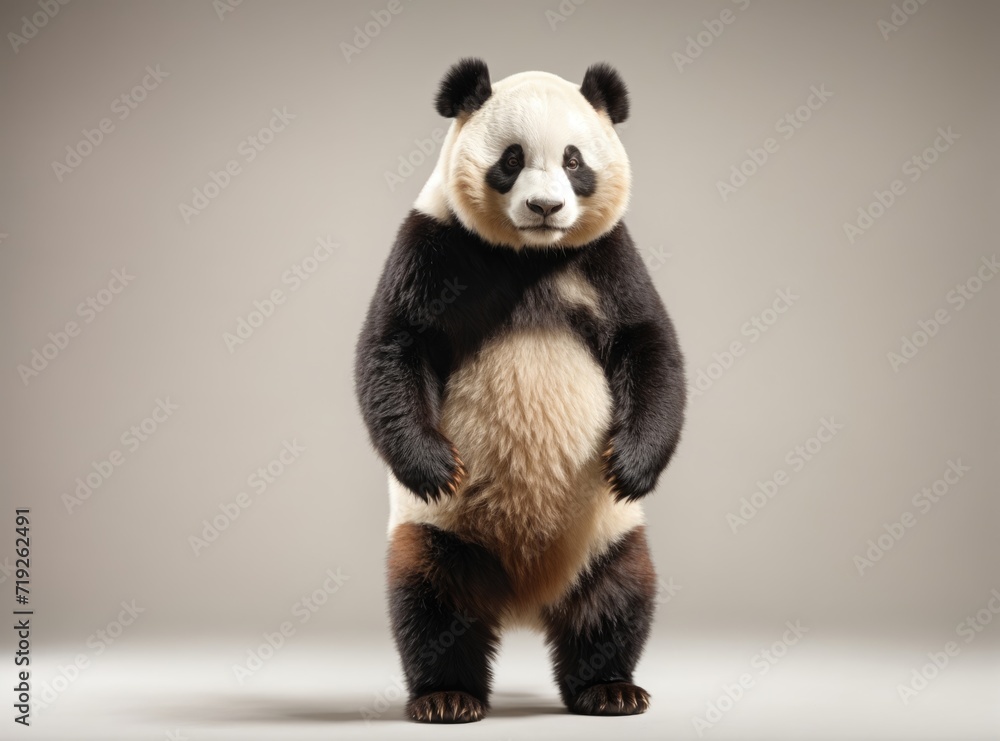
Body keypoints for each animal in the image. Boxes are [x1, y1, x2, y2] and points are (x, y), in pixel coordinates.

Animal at [355, 58, 685, 723]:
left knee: (617, 597)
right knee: (430, 601)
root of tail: (527, 599)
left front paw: (631, 464)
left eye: (574, 160)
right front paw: (434, 465)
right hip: (442, 532)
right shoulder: (433, 245)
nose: (545, 206)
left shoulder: (608, 259)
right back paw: (447, 696)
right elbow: (393, 346)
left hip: (608, 532)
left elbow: (648, 344)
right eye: (510, 158)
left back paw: (609, 688)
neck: (529, 256)